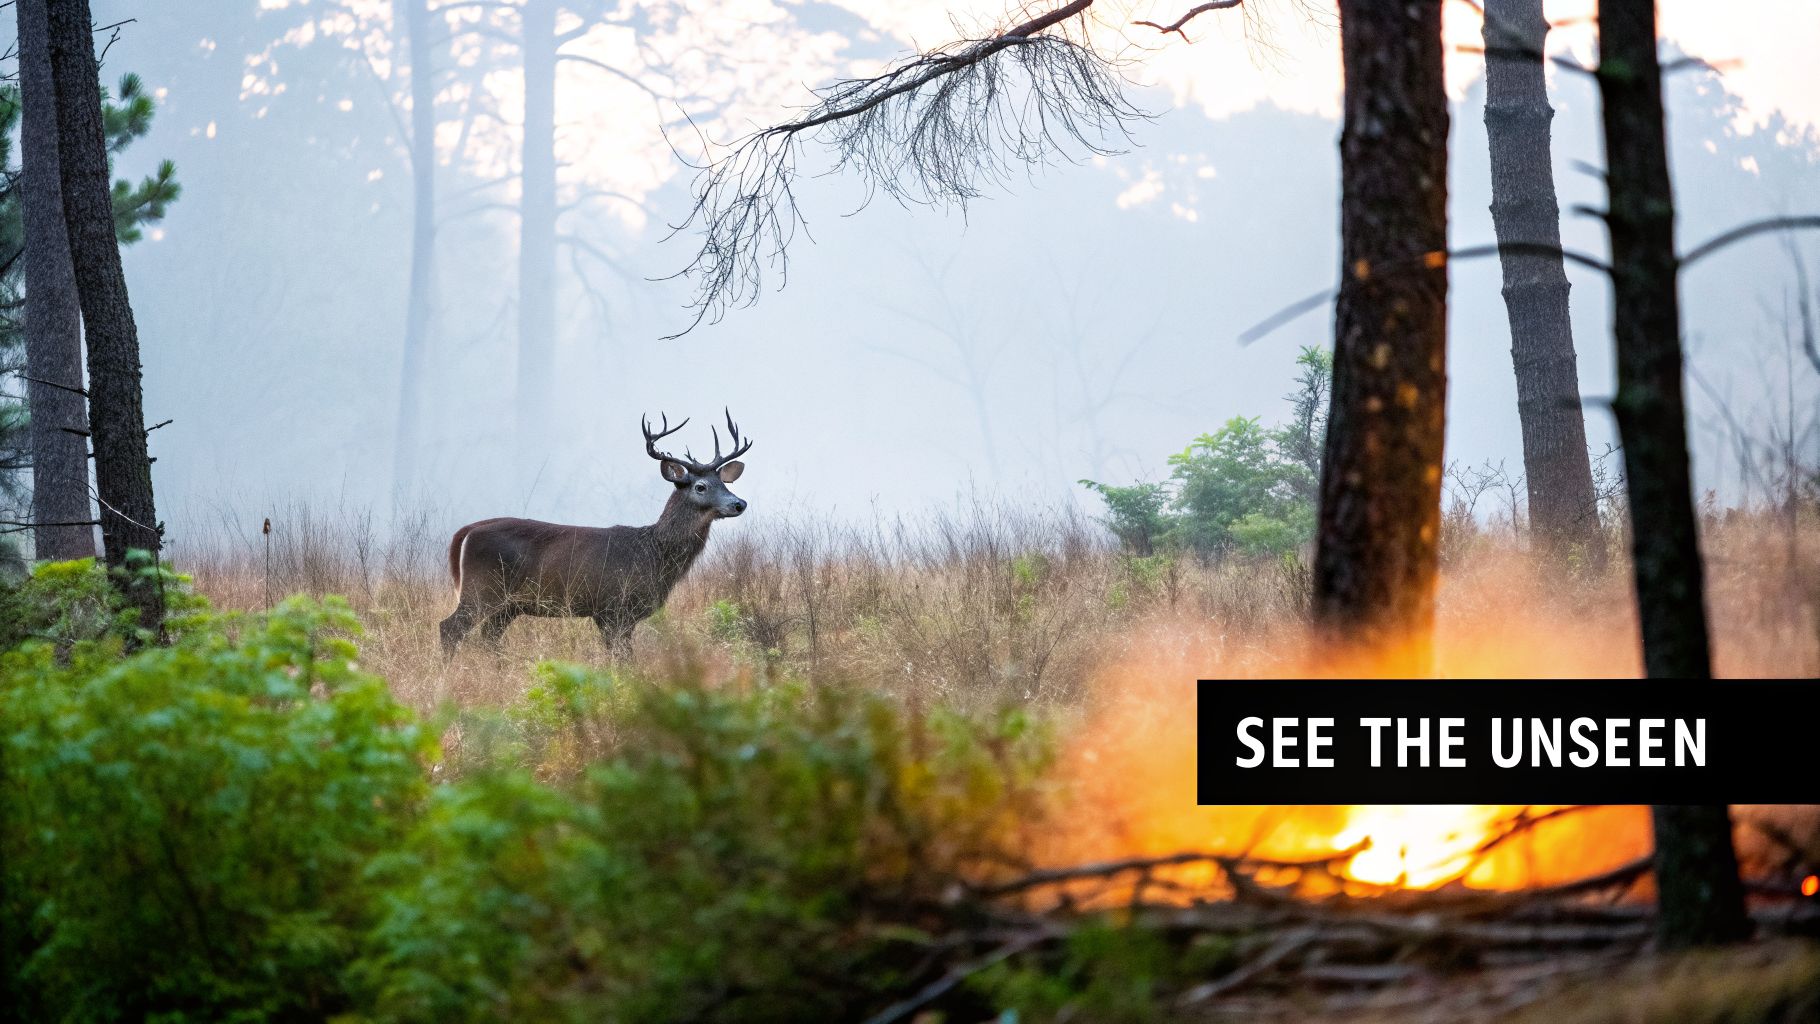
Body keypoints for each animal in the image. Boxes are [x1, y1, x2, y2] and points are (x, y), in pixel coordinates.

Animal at [439, 411, 752, 657]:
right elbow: (623, 660)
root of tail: (466, 532)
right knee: (449, 628)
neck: (655, 554)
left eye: (723, 483)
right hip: (482, 589)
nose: (739, 503)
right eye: (700, 486)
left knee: (488, 638)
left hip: (507, 605)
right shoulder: (613, 607)